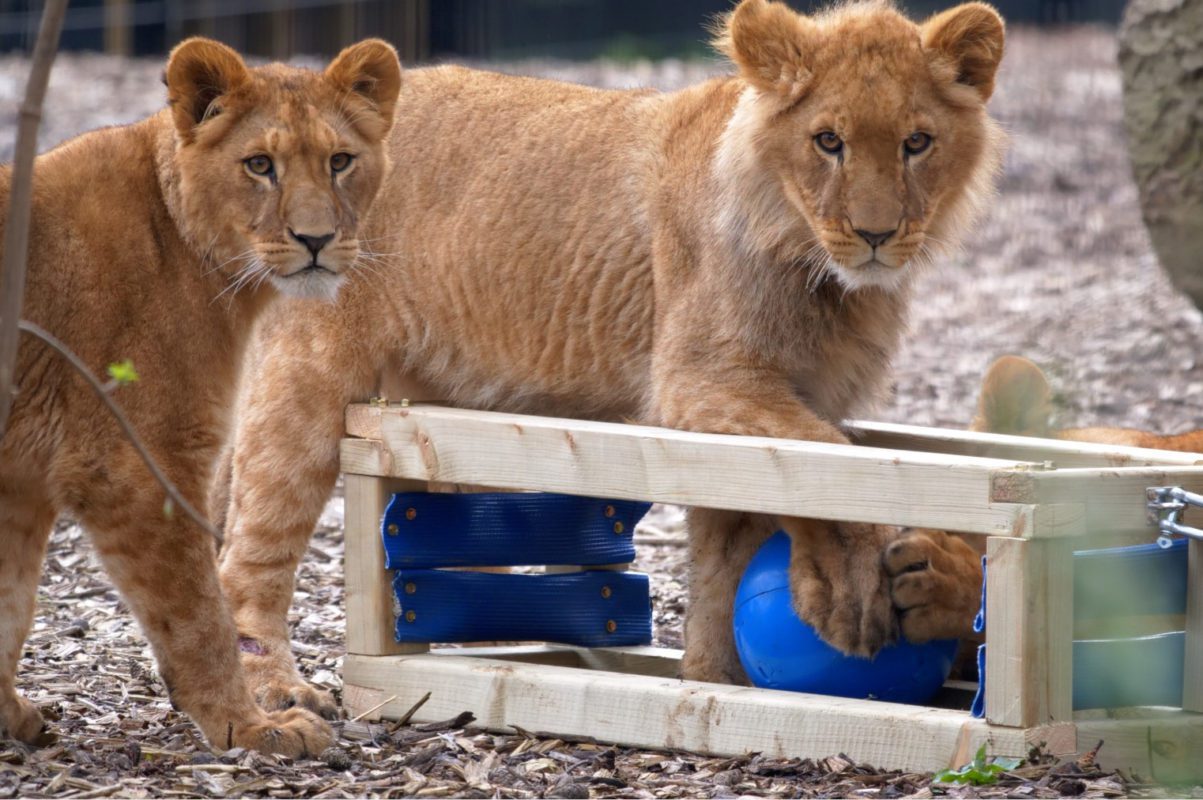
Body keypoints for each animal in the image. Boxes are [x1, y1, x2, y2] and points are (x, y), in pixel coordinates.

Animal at [0, 37, 401, 754]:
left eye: (340, 161)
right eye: (260, 165)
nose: (317, 240)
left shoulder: (21, 481)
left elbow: (9, 602)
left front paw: (9, 714)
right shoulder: (135, 466)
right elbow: (198, 612)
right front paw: (253, 725)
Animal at [215, 0, 1007, 711]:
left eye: (916, 143)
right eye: (828, 141)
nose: (876, 235)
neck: (822, 273)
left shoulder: (767, 403)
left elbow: (745, 531)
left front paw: (711, 679)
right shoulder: (700, 379)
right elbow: (827, 461)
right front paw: (849, 591)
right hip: (304, 380)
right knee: (248, 554)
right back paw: (276, 691)